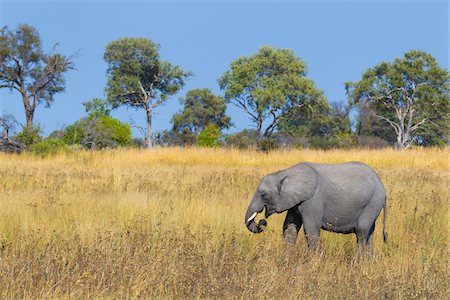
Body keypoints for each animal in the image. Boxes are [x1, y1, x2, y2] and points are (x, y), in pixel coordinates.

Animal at [244, 162, 388, 251]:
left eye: (263, 194)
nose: (262, 221)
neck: (285, 173)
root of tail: (381, 185)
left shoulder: (313, 200)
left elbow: (311, 228)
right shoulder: (295, 201)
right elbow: (289, 227)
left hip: (373, 202)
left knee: (361, 231)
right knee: (370, 233)